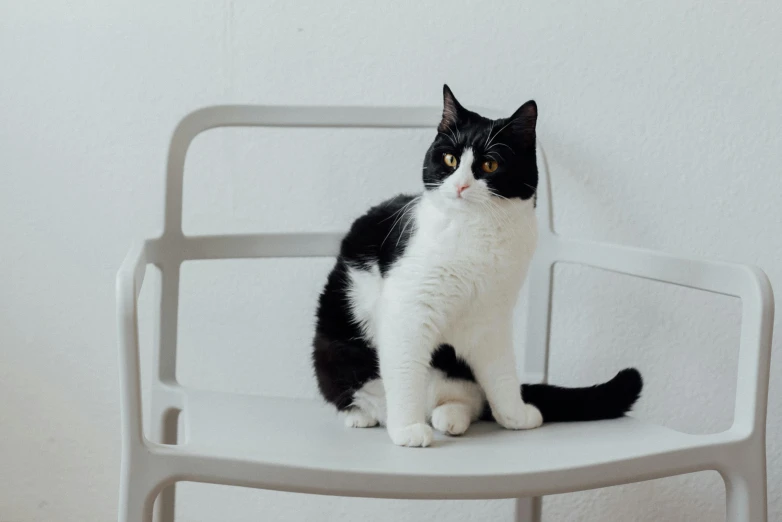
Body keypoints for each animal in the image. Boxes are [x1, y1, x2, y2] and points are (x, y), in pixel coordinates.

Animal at [312, 86, 644, 446]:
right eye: (450, 160)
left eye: (490, 164)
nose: (461, 186)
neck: (478, 232)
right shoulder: (408, 311)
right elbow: (404, 370)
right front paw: (407, 429)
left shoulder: (491, 318)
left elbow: (502, 371)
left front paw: (515, 414)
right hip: (335, 349)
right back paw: (369, 416)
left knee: (465, 399)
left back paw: (450, 417)